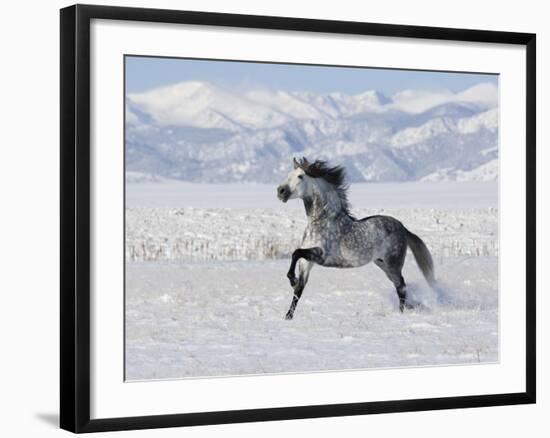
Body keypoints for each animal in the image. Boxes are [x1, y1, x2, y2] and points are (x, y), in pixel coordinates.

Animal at [278, 157, 438, 318]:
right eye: (288, 174)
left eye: (300, 176)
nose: (280, 191)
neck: (321, 221)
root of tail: (402, 227)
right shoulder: (307, 262)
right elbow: (299, 289)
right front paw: (288, 316)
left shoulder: (321, 254)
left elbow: (296, 253)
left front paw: (292, 279)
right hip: (382, 264)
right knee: (399, 284)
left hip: (393, 264)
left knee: (401, 286)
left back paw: (401, 312)